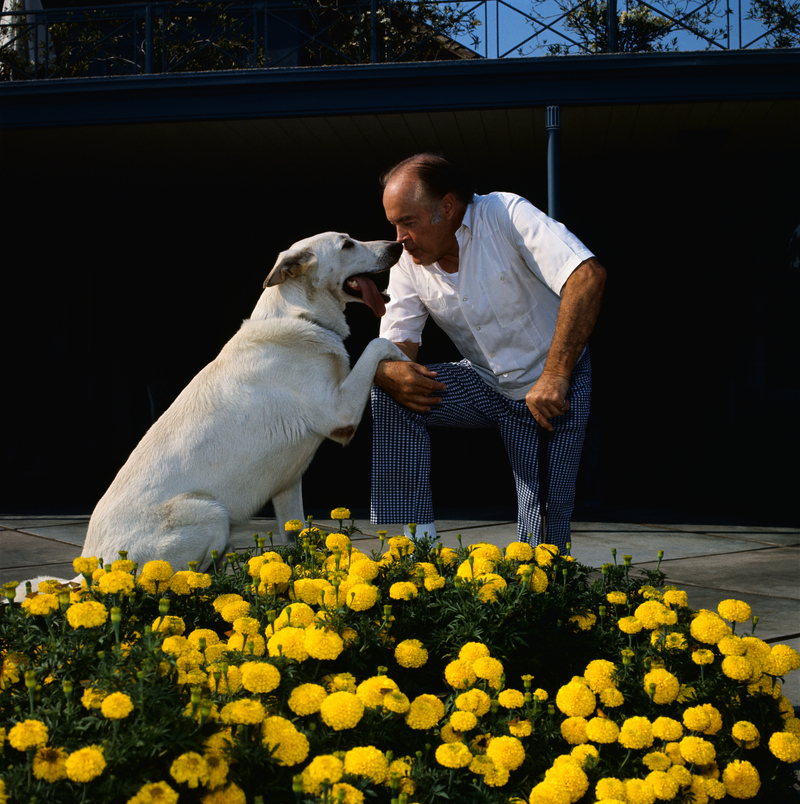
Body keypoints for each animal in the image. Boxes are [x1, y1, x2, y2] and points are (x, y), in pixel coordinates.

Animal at [18, 232, 406, 596]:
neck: (302, 315)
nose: (398, 245)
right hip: (211, 513)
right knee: (170, 586)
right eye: (347, 244)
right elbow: (378, 344)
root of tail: (89, 573)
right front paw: (405, 359)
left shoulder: (289, 484)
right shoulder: (340, 415)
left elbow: (297, 538)